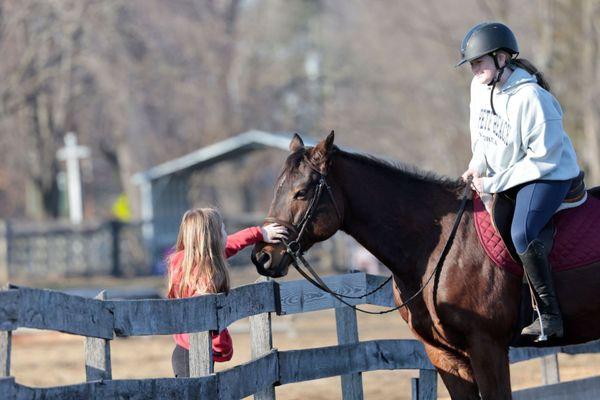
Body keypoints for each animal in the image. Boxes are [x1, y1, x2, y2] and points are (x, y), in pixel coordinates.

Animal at [251, 133, 600, 398]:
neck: (439, 244)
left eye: (301, 192)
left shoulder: (487, 347)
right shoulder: (444, 355)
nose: (262, 255)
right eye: (277, 188)